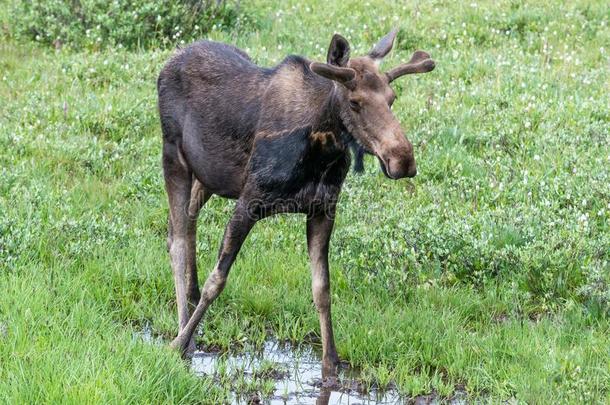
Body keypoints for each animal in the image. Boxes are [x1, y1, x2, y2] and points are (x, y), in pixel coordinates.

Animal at [157, 28, 432, 376]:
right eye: (354, 102)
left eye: (392, 98)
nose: (403, 159)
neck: (321, 150)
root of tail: (171, 60)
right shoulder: (249, 201)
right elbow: (216, 280)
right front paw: (177, 345)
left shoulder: (323, 209)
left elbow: (322, 289)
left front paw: (331, 363)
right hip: (173, 155)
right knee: (178, 239)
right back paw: (185, 332)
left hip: (206, 176)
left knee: (183, 229)